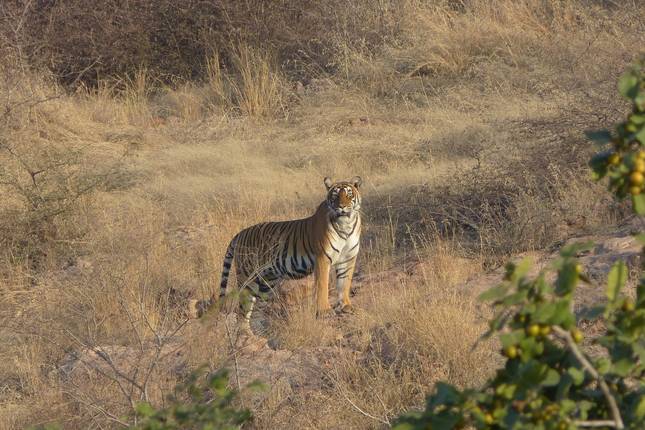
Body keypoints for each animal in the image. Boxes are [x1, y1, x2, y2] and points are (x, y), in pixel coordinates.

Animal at [191, 176, 362, 330]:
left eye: (349, 194)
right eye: (335, 195)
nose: (342, 207)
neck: (345, 224)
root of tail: (239, 234)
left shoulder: (348, 259)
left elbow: (344, 282)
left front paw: (345, 306)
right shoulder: (322, 259)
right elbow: (323, 285)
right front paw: (324, 311)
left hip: (267, 281)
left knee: (255, 308)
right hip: (247, 277)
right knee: (243, 309)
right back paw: (246, 334)